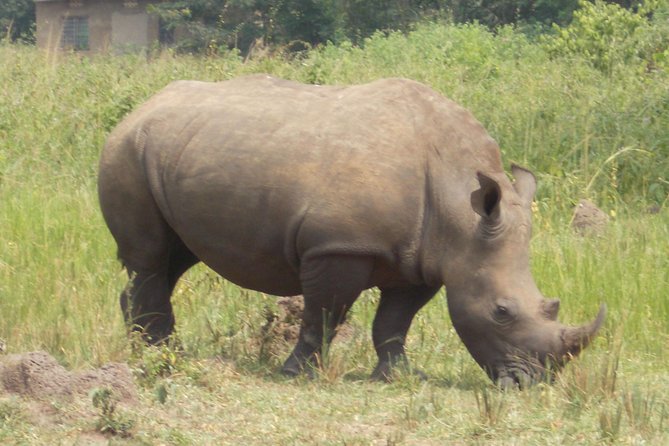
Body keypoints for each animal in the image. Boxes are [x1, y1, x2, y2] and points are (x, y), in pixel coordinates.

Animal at [98, 74, 605, 387]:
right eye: (501, 312)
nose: (531, 383)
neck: (460, 209)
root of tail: (140, 107)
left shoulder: (423, 258)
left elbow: (394, 322)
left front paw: (400, 376)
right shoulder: (339, 246)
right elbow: (324, 314)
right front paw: (296, 374)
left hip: (175, 149)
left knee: (175, 257)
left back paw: (153, 349)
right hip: (127, 150)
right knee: (150, 258)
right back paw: (163, 355)